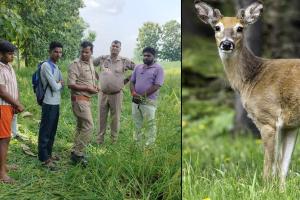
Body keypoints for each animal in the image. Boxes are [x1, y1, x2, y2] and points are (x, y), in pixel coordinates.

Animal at [195, 0, 300, 191]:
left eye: (240, 28)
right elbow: (283, 167)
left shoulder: (268, 119)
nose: (226, 44)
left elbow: (269, 164)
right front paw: (281, 191)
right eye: (217, 27)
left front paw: (265, 189)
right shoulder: (291, 124)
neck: (251, 80)